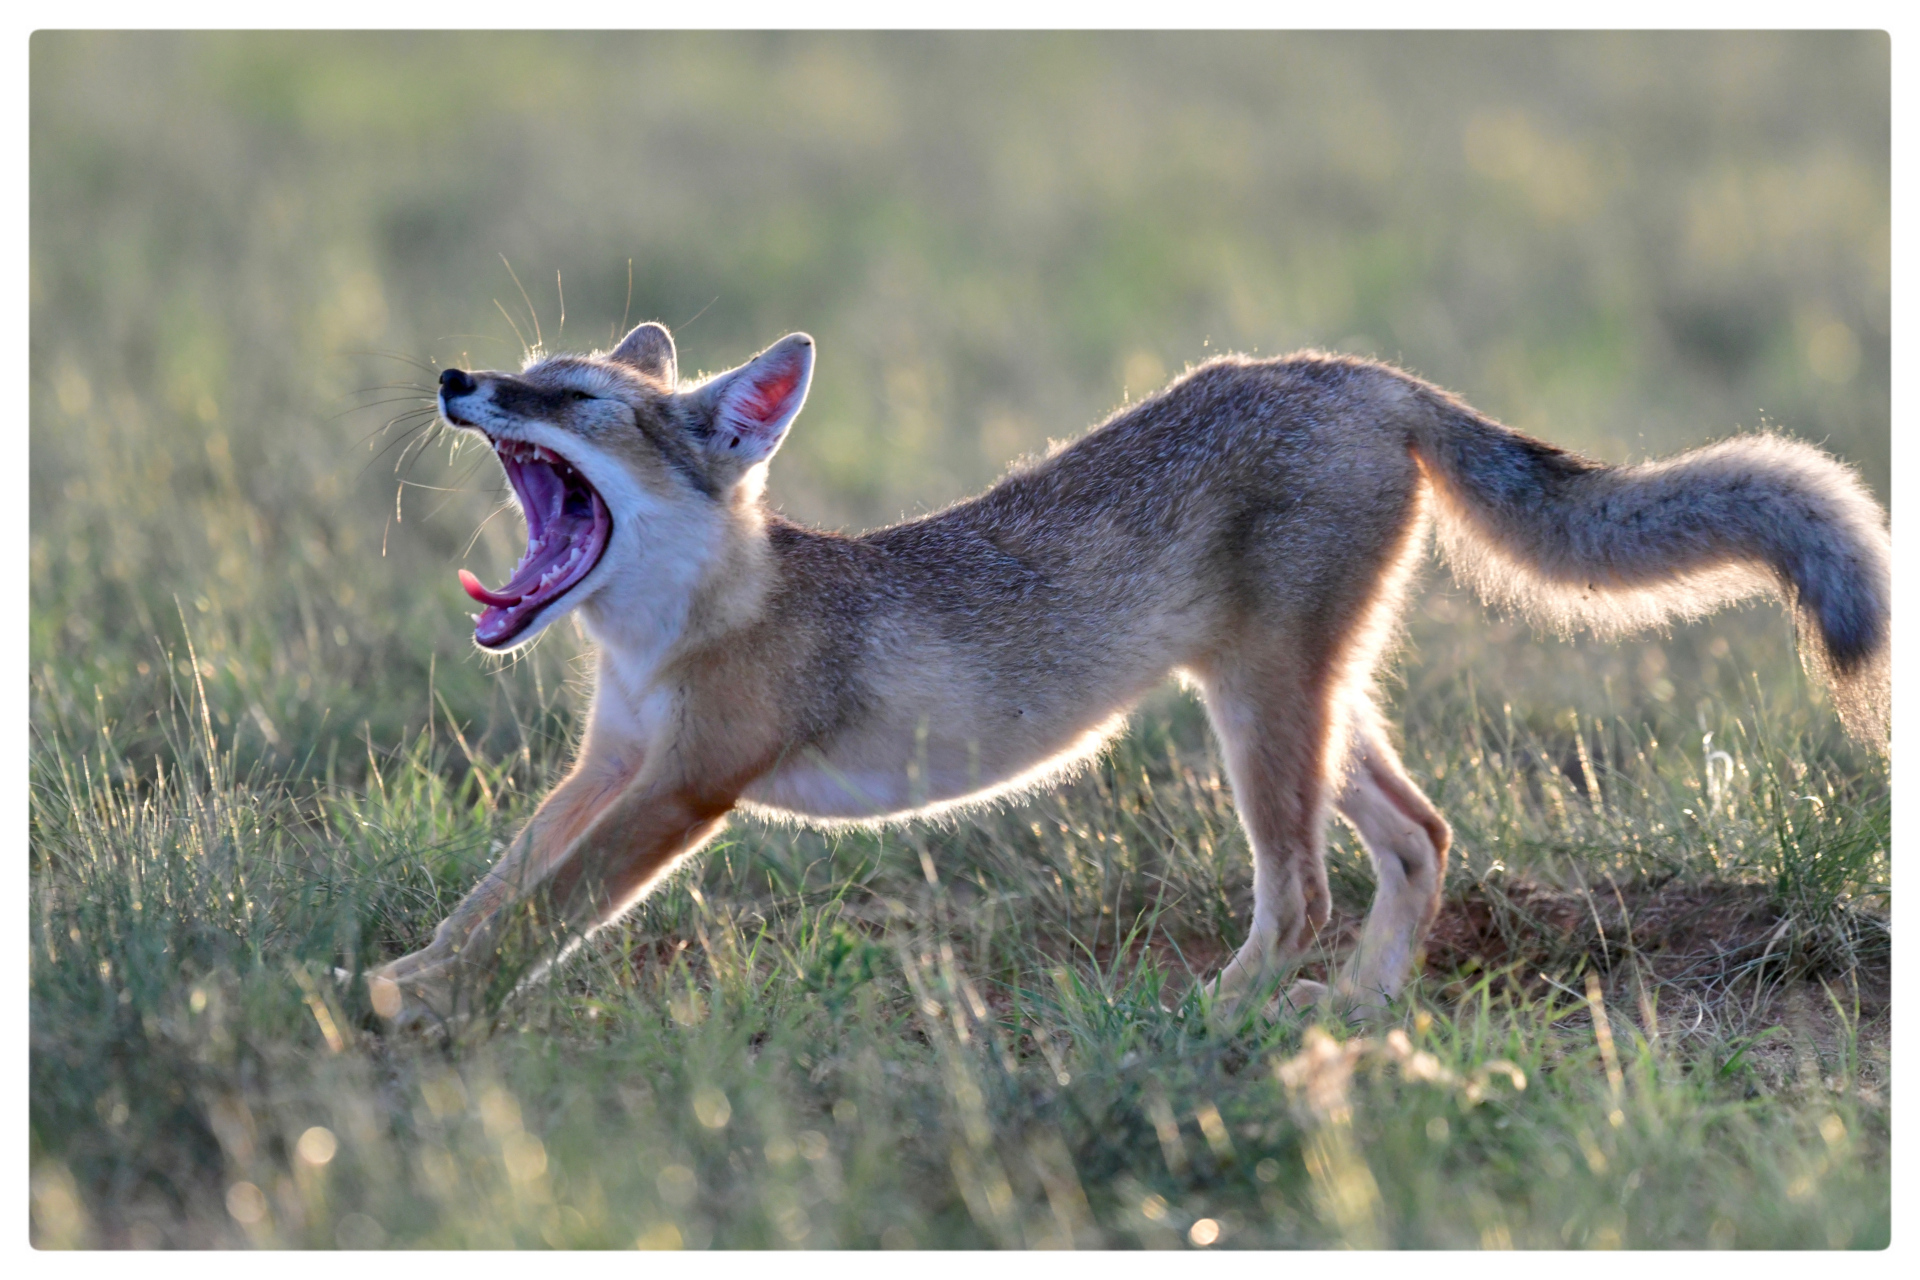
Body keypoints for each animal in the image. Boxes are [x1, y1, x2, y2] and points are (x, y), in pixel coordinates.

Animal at [366, 320, 1896, 1028]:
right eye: (525, 369)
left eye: (571, 400)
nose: (453, 376)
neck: (674, 630)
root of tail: (1350, 370)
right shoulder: (611, 764)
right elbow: (499, 886)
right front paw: (407, 974)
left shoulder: (685, 787)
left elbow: (546, 909)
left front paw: (438, 1007)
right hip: (1311, 709)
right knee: (1420, 837)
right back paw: (1355, 1013)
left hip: (1262, 715)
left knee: (1306, 893)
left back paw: (1220, 1020)